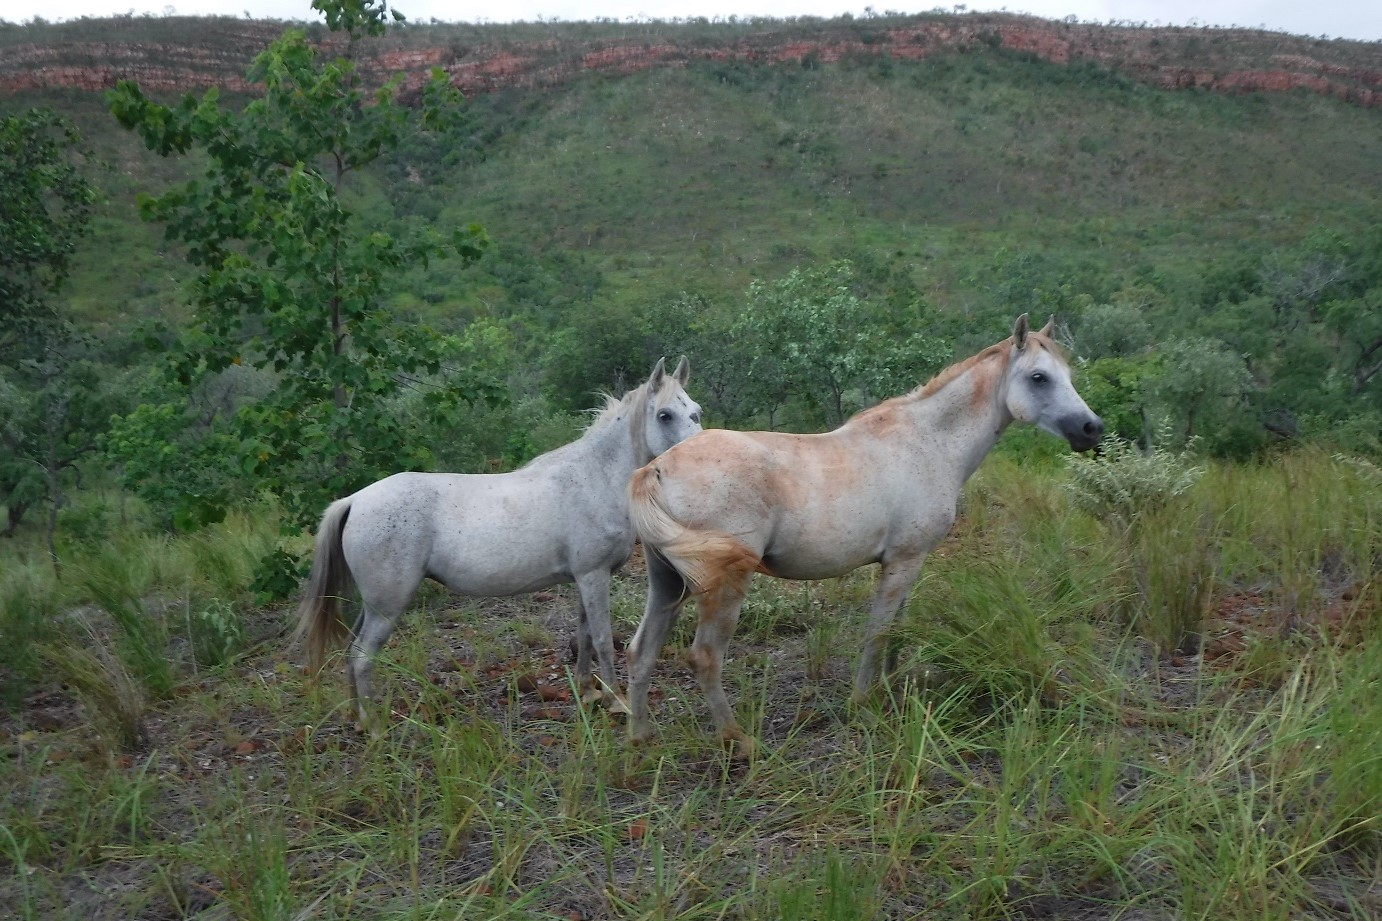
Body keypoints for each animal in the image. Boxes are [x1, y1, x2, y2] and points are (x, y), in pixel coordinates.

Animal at [294, 354, 702, 730]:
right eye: (665, 415)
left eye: (695, 412)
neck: (595, 477)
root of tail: (354, 500)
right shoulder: (594, 575)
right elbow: (602, 638)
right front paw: (616, 701)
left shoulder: (586, 578)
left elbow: (584, 635)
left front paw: (588, 692)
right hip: (387, 607)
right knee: (363, 656)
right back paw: (374, 726)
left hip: (374, 605)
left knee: (351, 653)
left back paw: (356, 718)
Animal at [627, 318, 1100, 752]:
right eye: (1039, 377)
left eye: (1067, 373)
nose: (1090, 429)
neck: (929, 443)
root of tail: (656, 467)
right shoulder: (904, 561)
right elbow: (878, 633)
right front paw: (862, 701)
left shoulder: (906, 563)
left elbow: (896, 630)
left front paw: (893, 686)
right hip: (724, 588)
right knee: (705, 658)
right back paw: (738, 740)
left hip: (666, 583)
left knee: (640, 651)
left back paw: (640, 736)